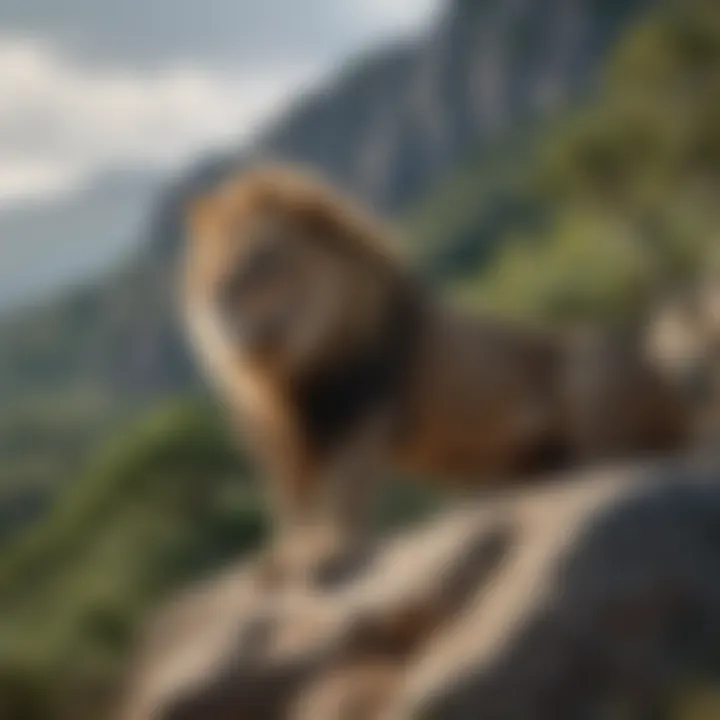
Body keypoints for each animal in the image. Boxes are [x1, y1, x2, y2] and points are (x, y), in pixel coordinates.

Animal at [183, 166, 688, 584]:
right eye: (207, 265)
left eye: (260, 258)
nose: (215, 296)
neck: (281, 365)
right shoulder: (273, 433)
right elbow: (290, 500)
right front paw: (286, 557)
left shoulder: (364, 408)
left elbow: (341, 489)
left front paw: (328, 551)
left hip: (590, 368)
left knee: (623, 459)